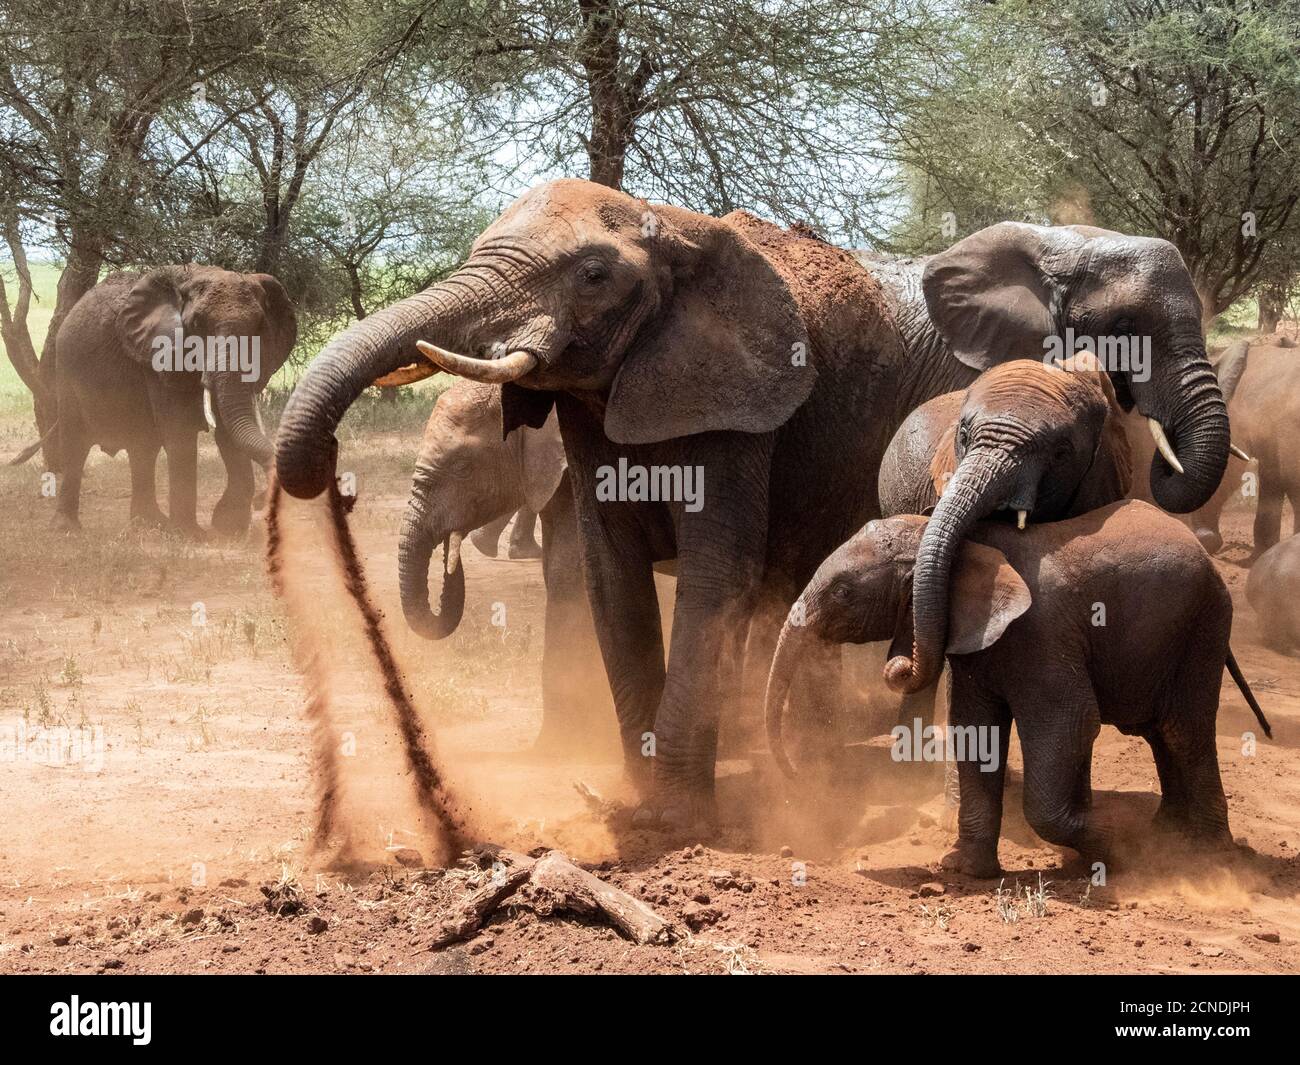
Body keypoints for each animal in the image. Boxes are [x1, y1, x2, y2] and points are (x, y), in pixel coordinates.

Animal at [42, 263, 295, 533]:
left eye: (260, 326)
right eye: (196, 323)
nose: (261, 499)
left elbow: (227, 432)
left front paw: (227, 528)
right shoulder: (158, 355)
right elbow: (180, 430)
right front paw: (192, 535)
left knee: (143, 447)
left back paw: (150, 523)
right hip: (65, 371)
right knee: (75, 445)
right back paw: (66, 528)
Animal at [764, 504, 1263, 879]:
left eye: (843, 593)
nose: (797, 779)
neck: (956, 548)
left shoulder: (1042, 635)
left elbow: (1071, 720)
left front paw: (1118, 849)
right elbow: (974, 731)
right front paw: (964, 870)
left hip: (1204, 625)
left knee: (1183, 731)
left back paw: (1207, 855)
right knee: (1160, 733)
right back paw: (1168, 836)